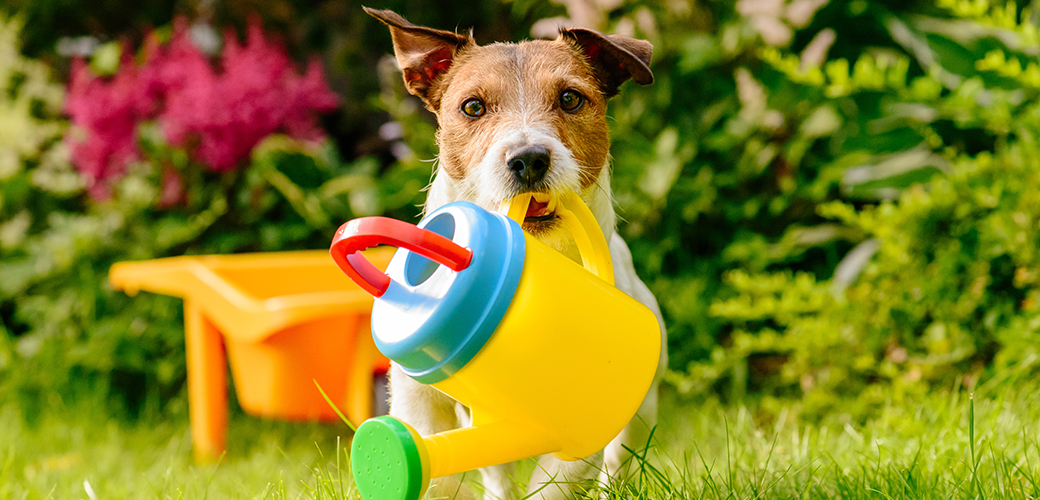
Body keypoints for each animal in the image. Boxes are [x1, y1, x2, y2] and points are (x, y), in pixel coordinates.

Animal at [364, 8, 665, 498]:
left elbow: (558, 479)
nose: (528, 159)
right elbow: (436, 469)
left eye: (570, 99)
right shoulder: (418, 397)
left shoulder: (585, 420)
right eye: (472, 107)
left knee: (620, 460)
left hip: (642, 408)